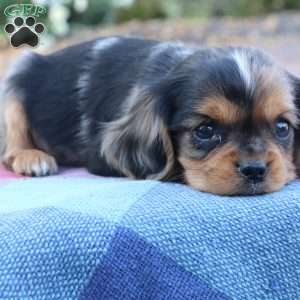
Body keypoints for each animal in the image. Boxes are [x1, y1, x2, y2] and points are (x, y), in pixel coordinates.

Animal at [0, 36, 300, 195]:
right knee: (10, 149)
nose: (255, 169)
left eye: (282, 127)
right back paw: (32, 157)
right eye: (205, 130)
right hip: (16, 76)